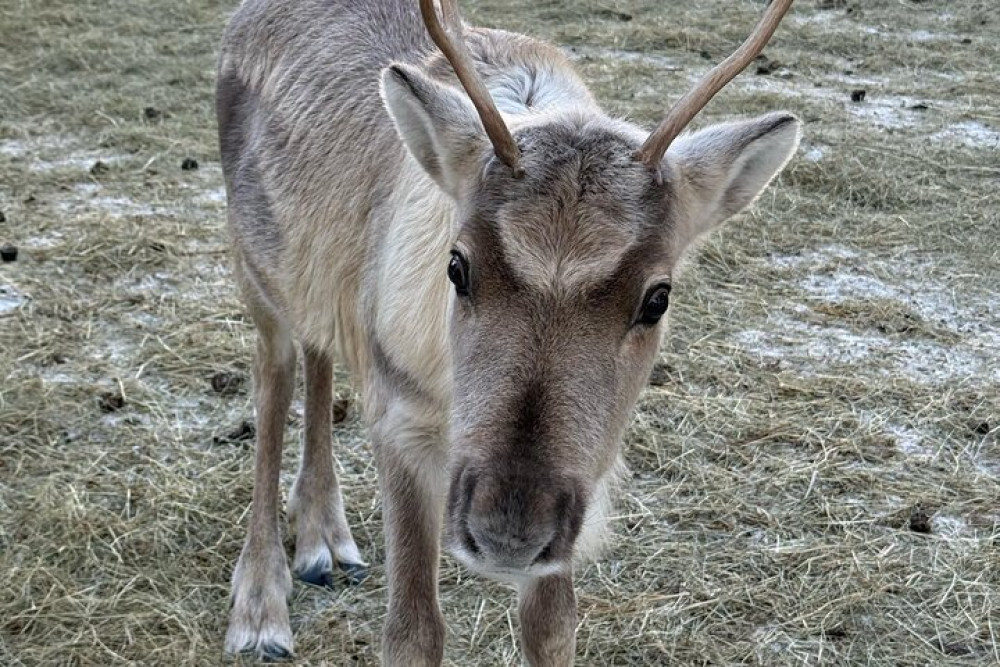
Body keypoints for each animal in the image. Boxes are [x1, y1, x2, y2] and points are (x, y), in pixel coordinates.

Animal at [215, 0, 799, 663]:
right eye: (456, 266)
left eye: (658, 298)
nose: (508, 530)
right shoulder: (400, 418)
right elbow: (412, 633)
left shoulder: (578, 492)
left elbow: (553, 628)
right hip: (254, 271)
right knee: (274, 381)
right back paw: (261, 606)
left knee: (319, 355)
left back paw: (323, 537)